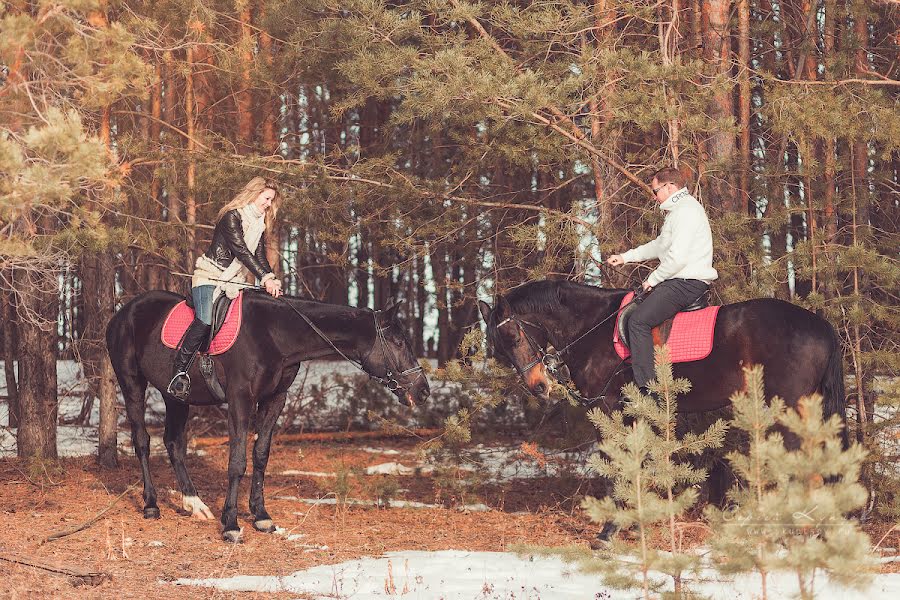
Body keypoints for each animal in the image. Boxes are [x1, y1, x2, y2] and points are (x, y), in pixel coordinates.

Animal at [105, 290, 428, 544]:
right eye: (399, 342)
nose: (423, 390)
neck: (275, 336)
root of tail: (122, 312)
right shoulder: (240, 400)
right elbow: (237, 461)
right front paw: (231, 524)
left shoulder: (275, 399)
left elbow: (260, 454)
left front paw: (260, 516)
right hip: (131, 382)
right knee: (142, 441)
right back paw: (151, 505)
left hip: (175, 396)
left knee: (173, 443)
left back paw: (194, 504)